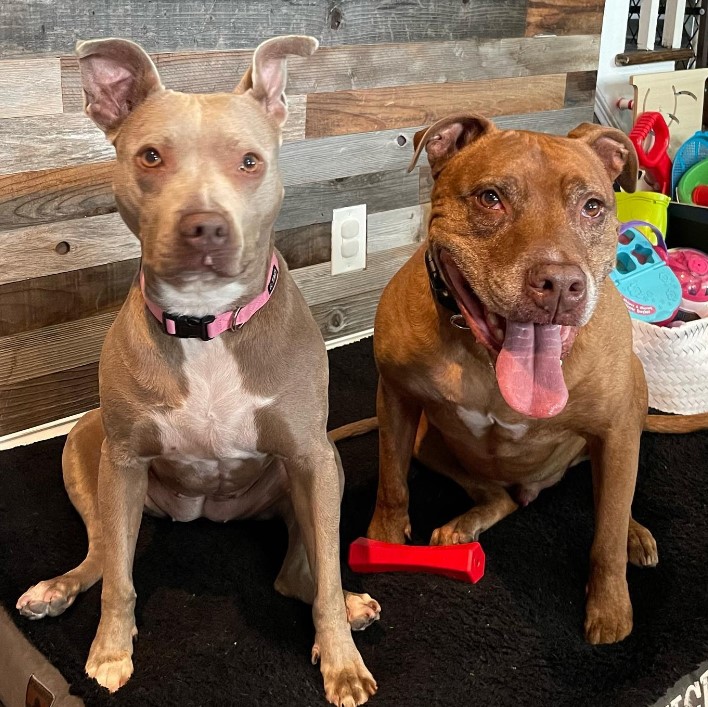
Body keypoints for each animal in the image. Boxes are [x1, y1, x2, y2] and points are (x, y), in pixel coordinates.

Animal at [16, 36, 378, 704]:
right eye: (151, 156)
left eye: (250, 161)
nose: (204, 226)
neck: (206, 323)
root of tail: (210, 513)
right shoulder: (123, 460)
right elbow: (121, 580)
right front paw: (111, 650)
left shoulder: (312, 459)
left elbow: (326, 572)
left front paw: (342, 663)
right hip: (88, 445)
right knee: (104, 553)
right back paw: (57, 589)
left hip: (323, 468)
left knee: (302, 572)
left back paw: (346, 601)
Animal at [366, 112, 708, 648]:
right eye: (490, 198)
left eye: (592, 206)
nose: (560, 284)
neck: (485, 358)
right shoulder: (395, 399)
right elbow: (392, 483)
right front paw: (380, 542)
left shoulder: (615, 432)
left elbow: (606, 535)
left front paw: (610, 613)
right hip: (428, 442)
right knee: (499, 497)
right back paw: (466, 525)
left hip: (626, 424)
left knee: (614, 498)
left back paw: (634, 532)